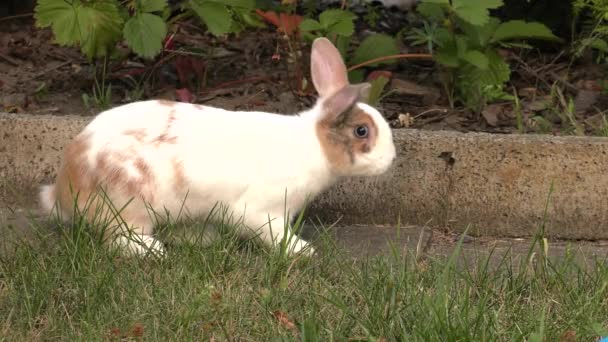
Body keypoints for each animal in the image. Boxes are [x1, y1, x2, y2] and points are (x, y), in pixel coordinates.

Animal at [39, 38, 400, 256]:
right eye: (362, 131)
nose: (391, 159)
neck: (315, 144)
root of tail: (65, 186)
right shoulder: (260, 210)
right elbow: (271, 233)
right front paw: (301, 251)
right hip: (130, 203)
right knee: (119, 237)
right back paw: (154, 251)